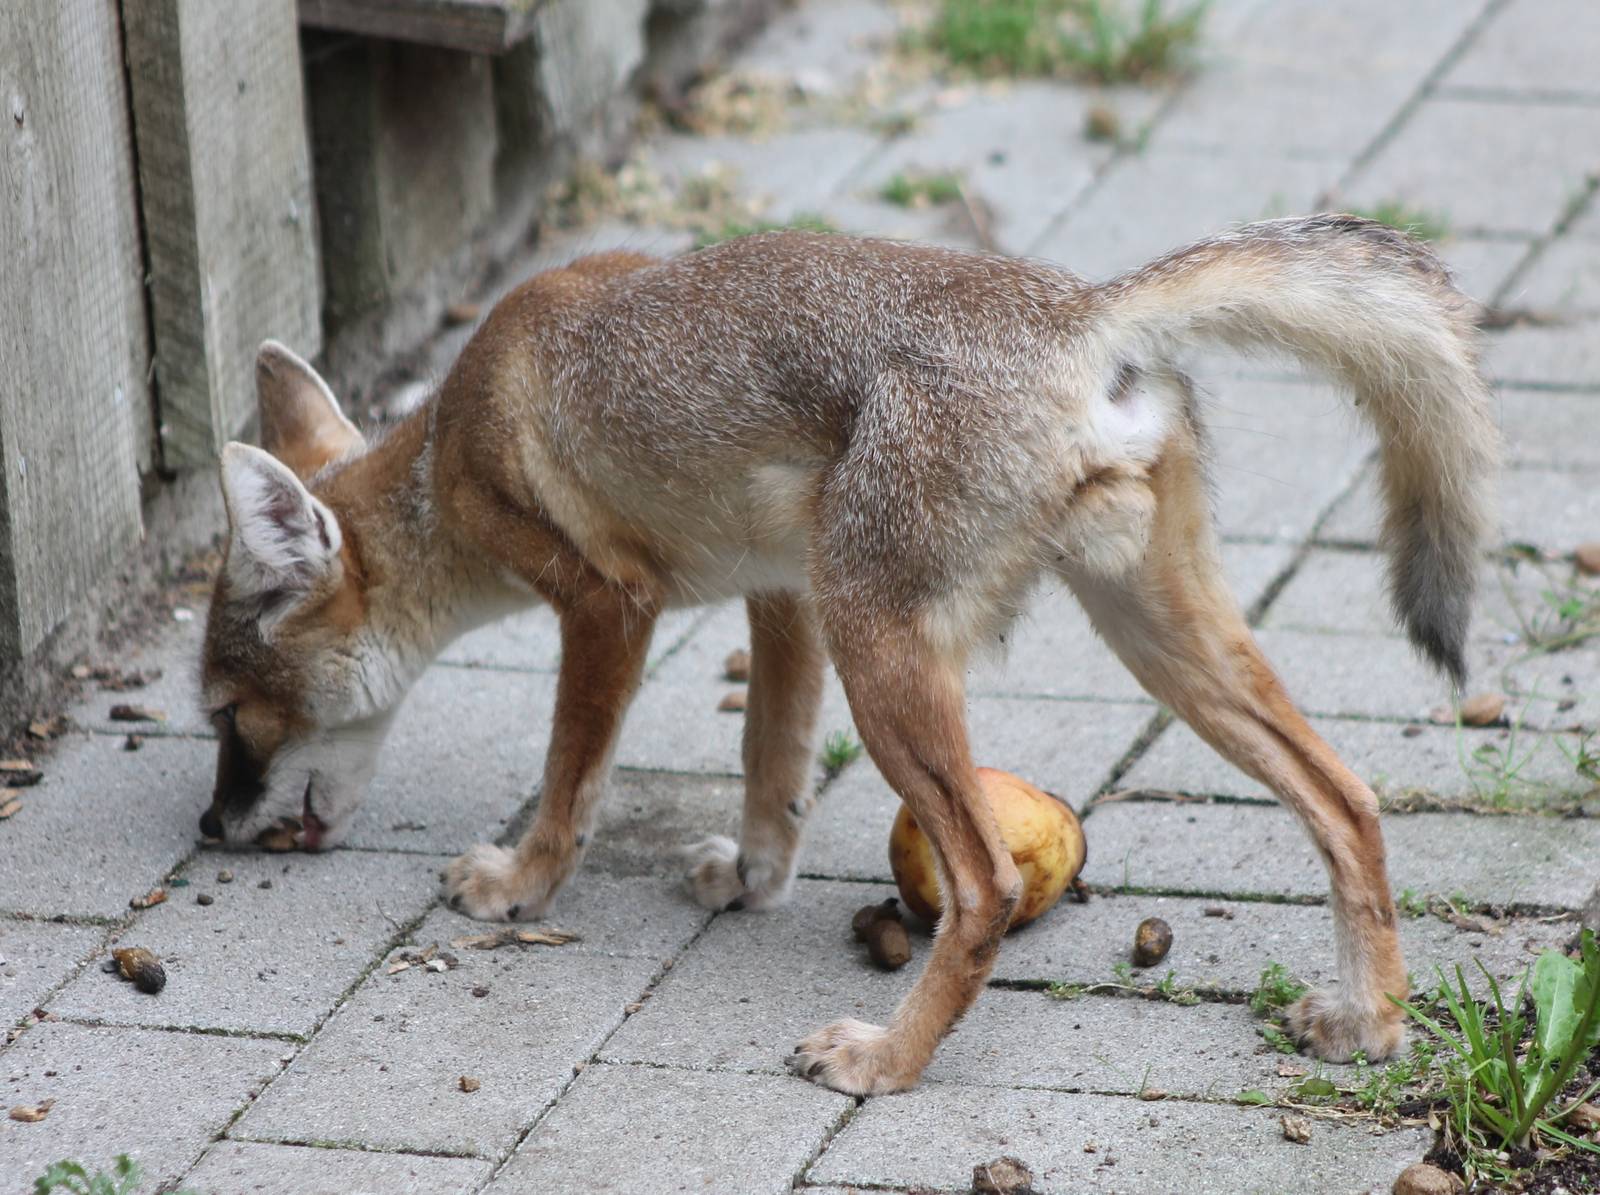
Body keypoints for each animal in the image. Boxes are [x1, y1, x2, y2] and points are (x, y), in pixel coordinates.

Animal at [197, 215, 1496, 1096]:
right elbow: (770, 772)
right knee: (1347, 799)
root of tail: (1079, 311)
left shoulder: (609, 607)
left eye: (226, 715)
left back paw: (885, 1059)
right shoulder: (780, 598)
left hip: (893, 662)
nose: (209, 828)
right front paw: (750, 879)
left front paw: (522, 886)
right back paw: (1370, 1021)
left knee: (987, 886)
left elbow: (571, 782)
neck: (447, 450)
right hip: (1143, 647)